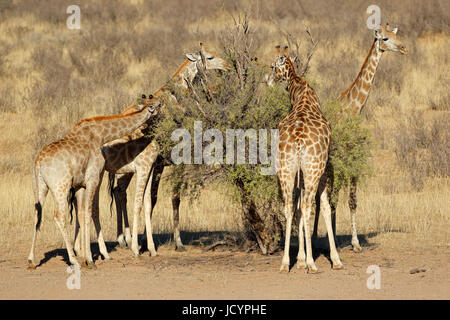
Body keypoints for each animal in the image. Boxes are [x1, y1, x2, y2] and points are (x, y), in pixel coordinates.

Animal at [107, 42, 230, 254]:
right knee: (120, 192)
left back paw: (124, 239)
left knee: (119, 192)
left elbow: (154, 199)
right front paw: (176, 242)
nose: (228, 66)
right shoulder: (172, 161)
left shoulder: (160, 164)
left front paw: (144, 240)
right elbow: (172, 198)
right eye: (210, 57)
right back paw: (125, 238)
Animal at [270, 45, 342, 272]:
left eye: (272, 66)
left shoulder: (299, 171)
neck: (299, 92)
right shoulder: (323, 168)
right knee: (309, 207)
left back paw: (286, 263)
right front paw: (335, 260)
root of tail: (299, 141)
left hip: (285, 168)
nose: (268, 79)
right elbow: (325, 207)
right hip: (312, 168)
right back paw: (312, 263)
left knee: (289, 207)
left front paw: (300, 259)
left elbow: (298, 208)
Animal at [312, 22, 408, 252]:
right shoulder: (337, 161)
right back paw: (314, 237)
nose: (403, 48)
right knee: (320, 198)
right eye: (384, 38)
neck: (353, 110)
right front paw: (332, 240)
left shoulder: (354, 160)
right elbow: (333, 199)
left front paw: (354, 243)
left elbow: (351, 200)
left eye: (395, 35)